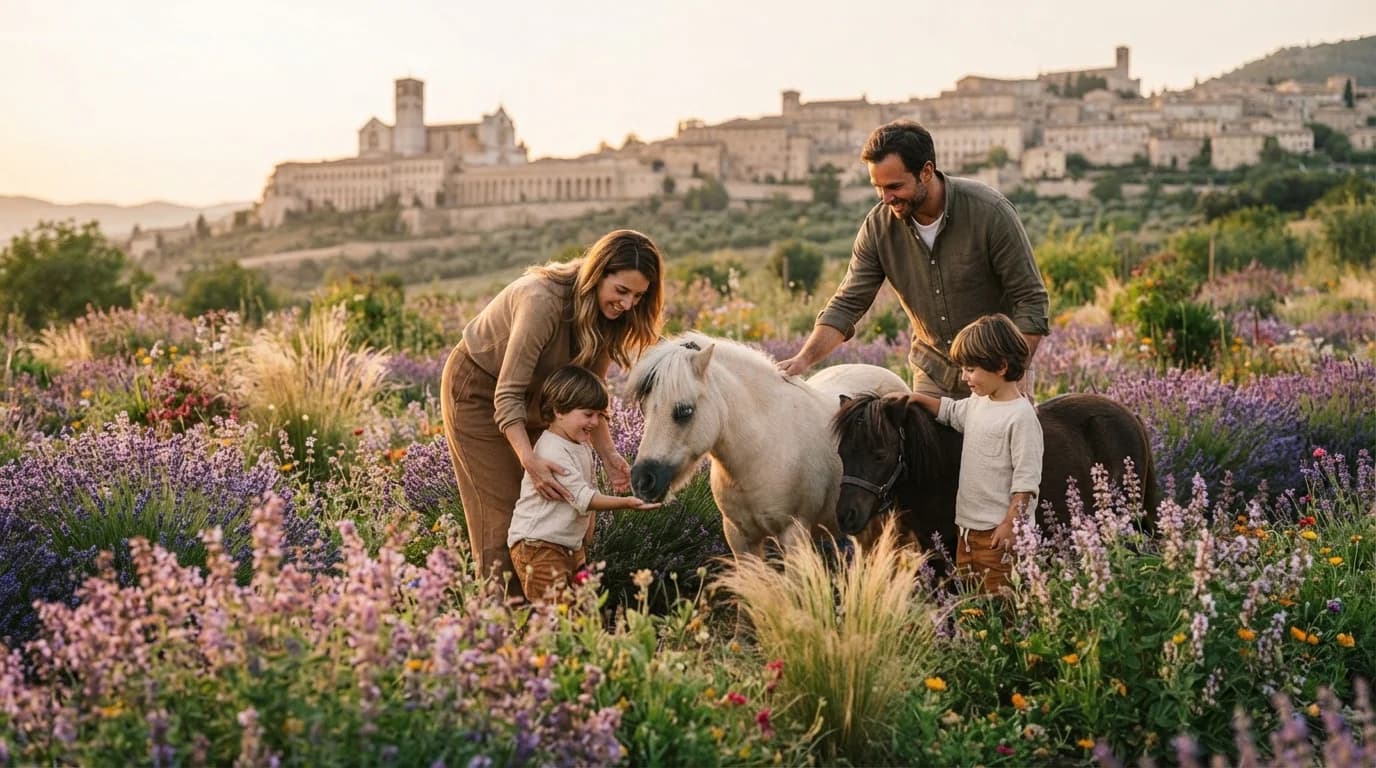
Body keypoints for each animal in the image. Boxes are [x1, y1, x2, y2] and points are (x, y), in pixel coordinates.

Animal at [627, 332, 910, 560]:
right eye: (645, 409)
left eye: (685, 411)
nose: (643, 480)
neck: (760, 451)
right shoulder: (740, 539)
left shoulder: (793, 535)